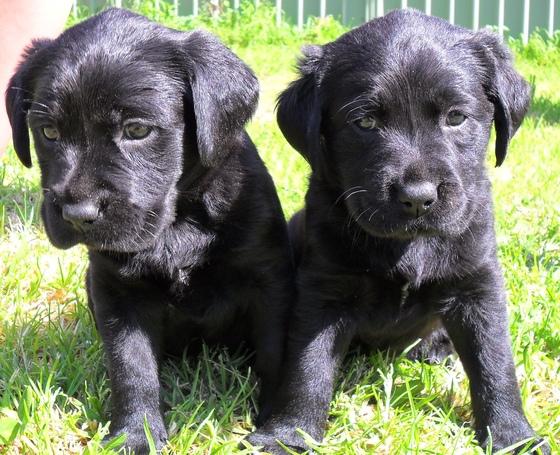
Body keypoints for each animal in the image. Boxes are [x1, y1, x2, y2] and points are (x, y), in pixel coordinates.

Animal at [5, 8, 294, 455]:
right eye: (48, 132)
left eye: (137, 131)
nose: (77, 214)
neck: (178, 223)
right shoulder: (116, 291)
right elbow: (131, 365)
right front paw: (135, 434)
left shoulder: (269, 278)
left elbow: (275, 351)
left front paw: (277, 425)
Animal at [248, 7, 548, 455]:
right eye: (365, 121)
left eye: (455, 117)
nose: (418, 198)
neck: (408, 245)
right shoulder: (324, 290)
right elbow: (308, 366)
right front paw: (288, 433)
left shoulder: (477, 285)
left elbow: (494, 363)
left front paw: (514, 437)